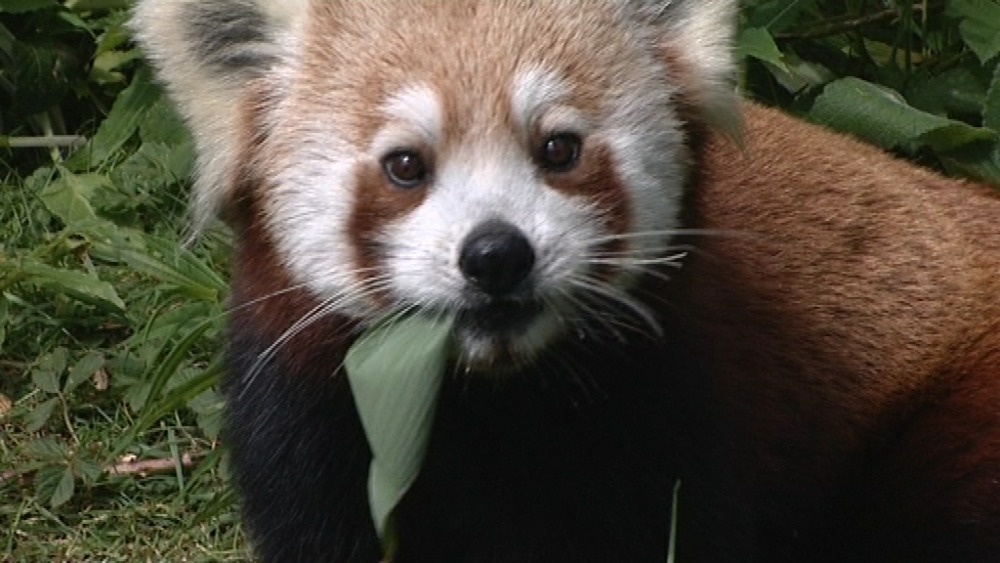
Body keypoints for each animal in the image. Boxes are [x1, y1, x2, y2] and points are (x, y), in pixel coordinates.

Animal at [129, 1, 1000, 563]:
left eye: (558, 148)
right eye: (405, 165)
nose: (495, 254)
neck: (487, 400)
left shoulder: (674, 401)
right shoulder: (311, 411)